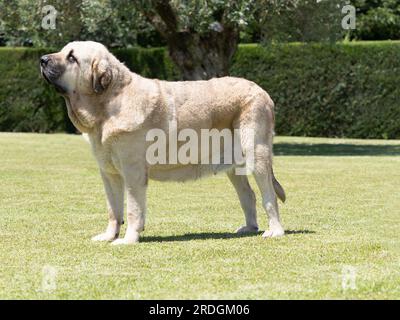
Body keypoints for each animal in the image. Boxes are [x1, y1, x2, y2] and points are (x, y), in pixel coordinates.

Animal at [39, 40, 284, 245]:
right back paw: (250, 228)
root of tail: (262, 92)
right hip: (234, 166)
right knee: (248, 195)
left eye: (72, 57)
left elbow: (133, 209)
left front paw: (128, 239)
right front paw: (109, 236)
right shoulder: (109, 174)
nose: (42, 59)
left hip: (256, 154)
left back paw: (275, 230)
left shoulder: (133, 172)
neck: (107, 105)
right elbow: (113, 210)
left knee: (269, 195)